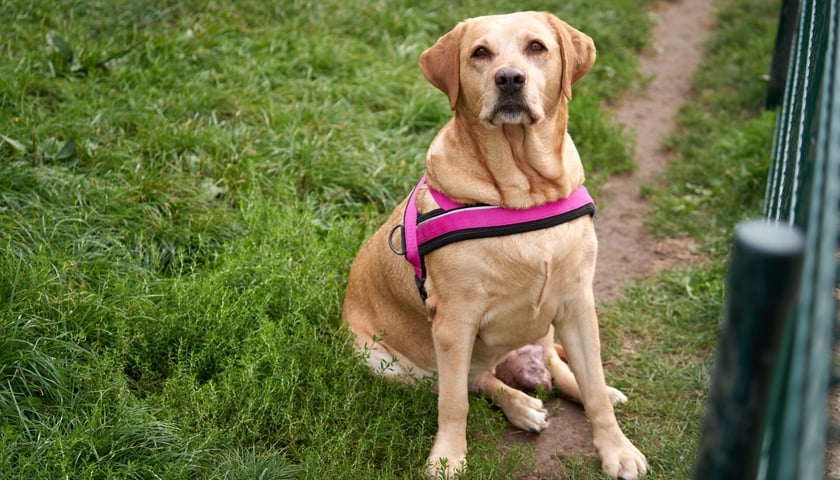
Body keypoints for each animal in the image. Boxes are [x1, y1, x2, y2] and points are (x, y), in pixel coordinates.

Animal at [342, 11, 648, 480]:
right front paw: (447, 458)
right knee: (475, 380)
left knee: (563, 369)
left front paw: (617, 448)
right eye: (480, 53)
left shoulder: (578, 304)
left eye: (537, 47)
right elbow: (454, 403)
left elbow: (593, 389)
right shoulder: (454, 323)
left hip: (547, 327)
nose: (509, 78)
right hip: (380, 359)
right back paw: (521, 405)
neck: (523, 193)